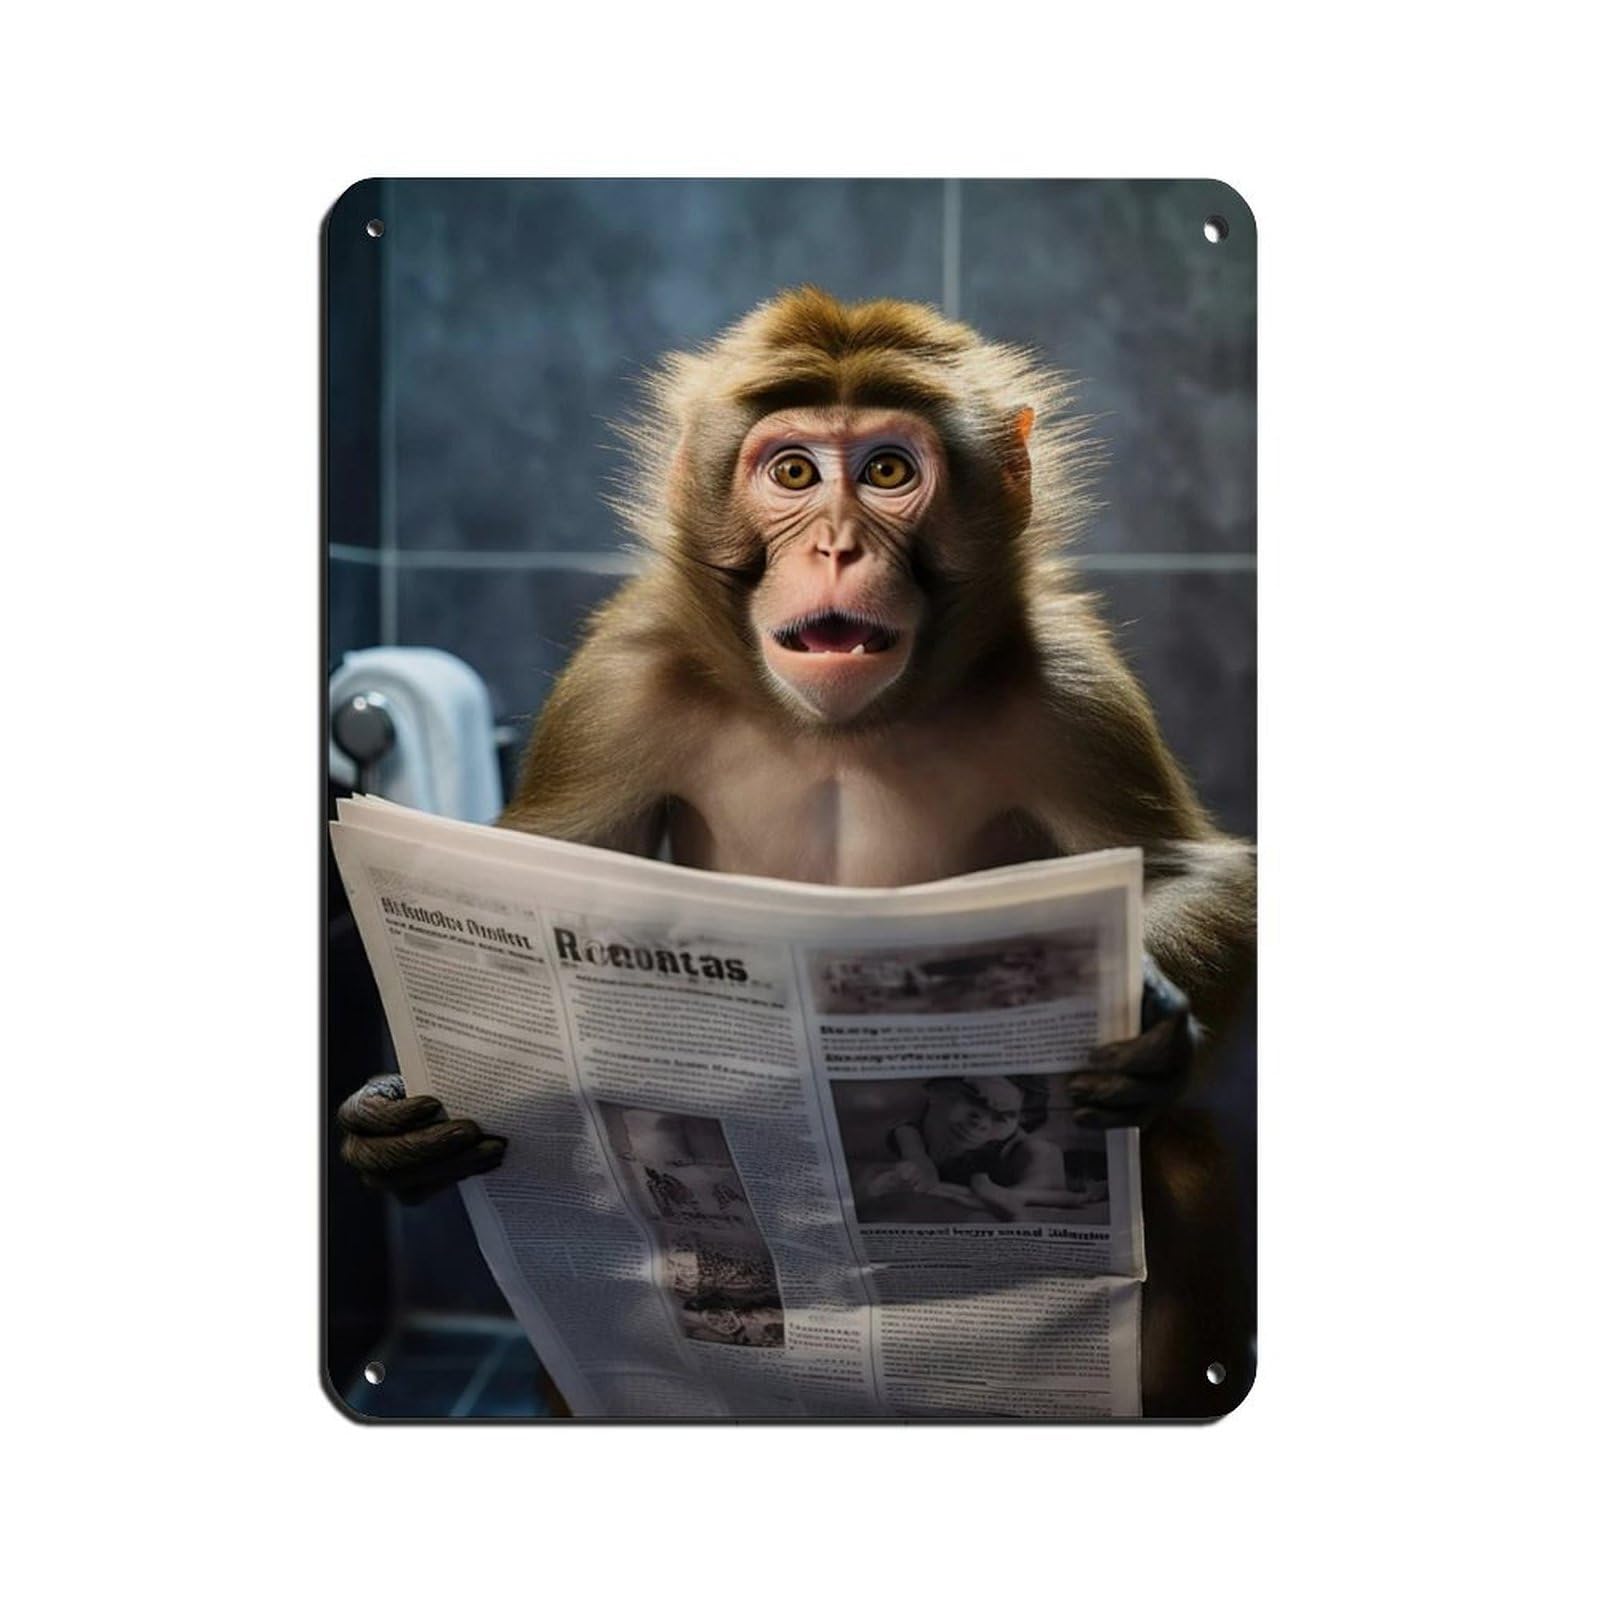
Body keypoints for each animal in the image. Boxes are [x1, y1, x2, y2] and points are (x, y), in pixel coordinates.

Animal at [338, 287, 1256, 1416]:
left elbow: (1186, 868)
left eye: (889, 472)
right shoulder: (614, 681)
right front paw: (384, 1115)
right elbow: (542, 865)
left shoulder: (1074, 683)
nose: (836, 548)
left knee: (1174, 1147)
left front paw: (1141, 1009)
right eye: (793, 474)